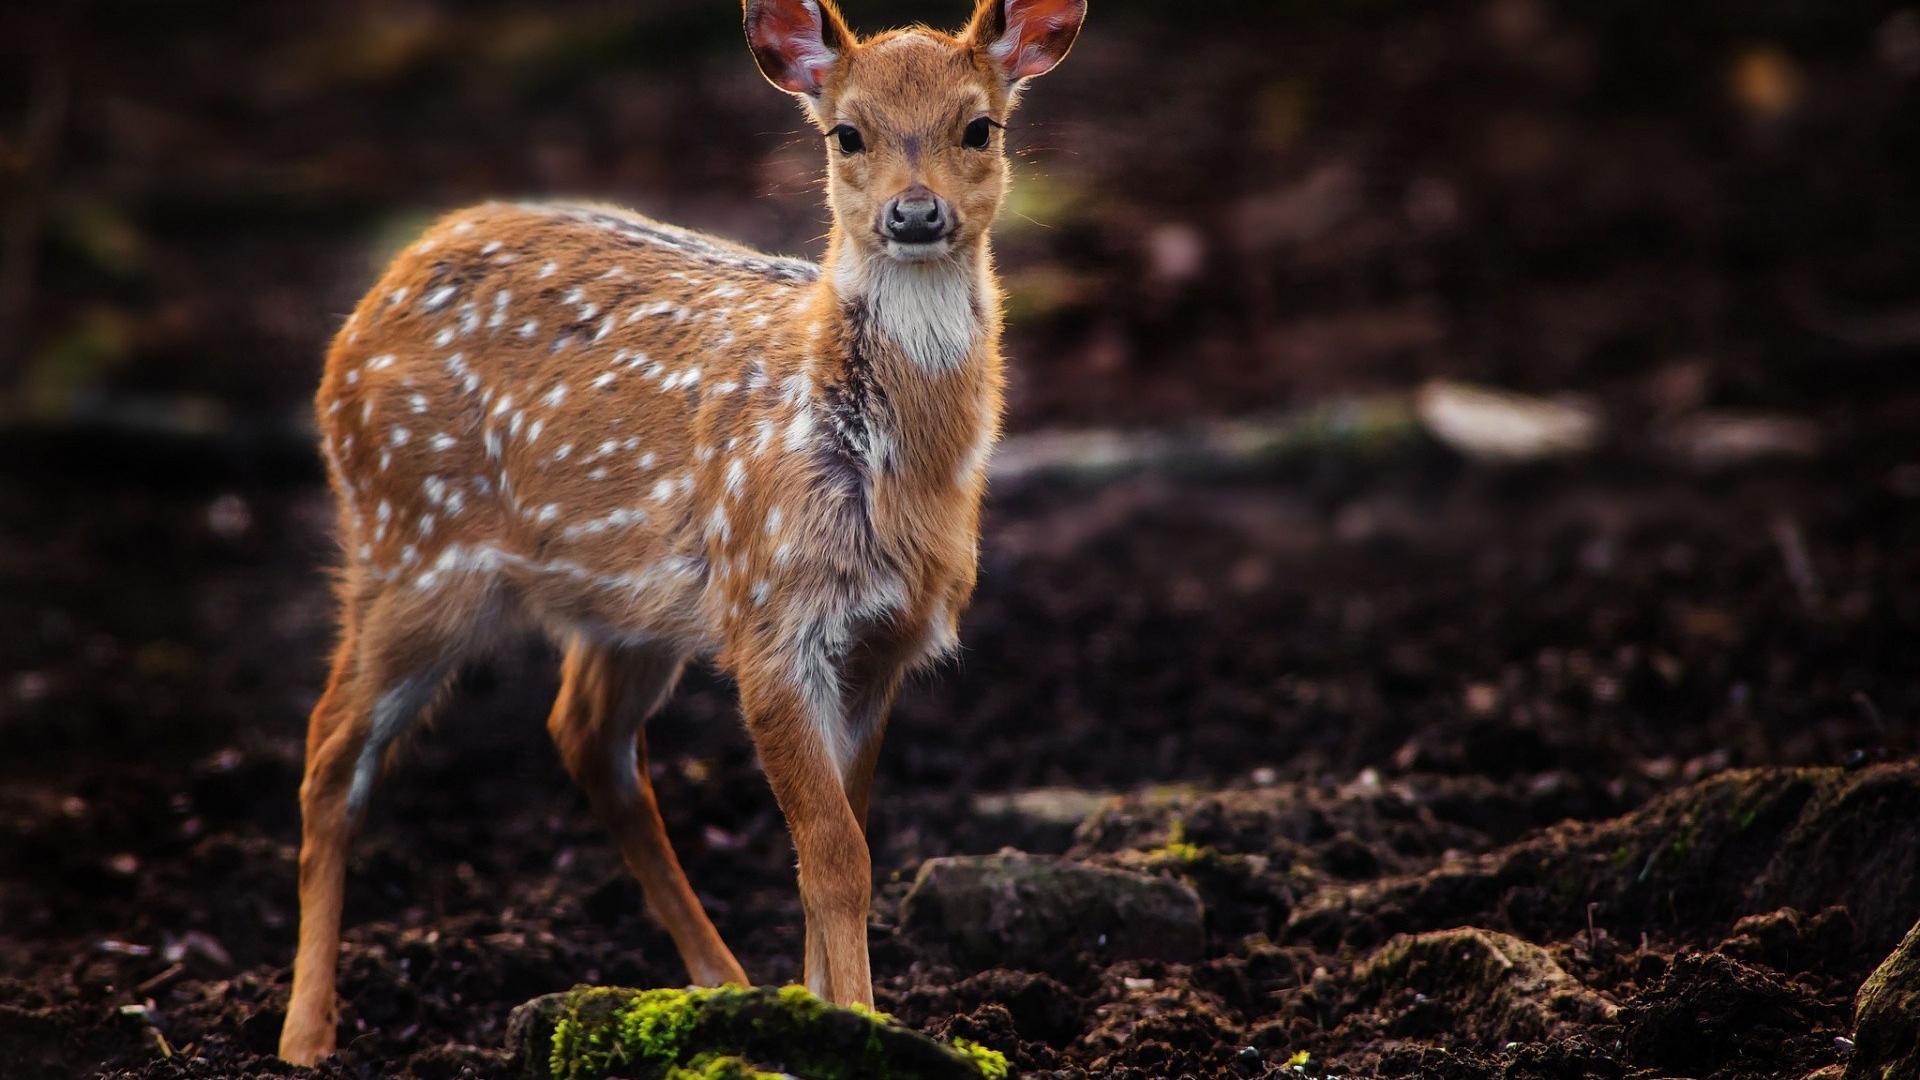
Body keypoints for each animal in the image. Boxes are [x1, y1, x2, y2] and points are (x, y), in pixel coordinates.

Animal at [278, 0, 1087, 1064]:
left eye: (979, 127)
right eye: (848, 134)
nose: (914, 214)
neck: (885, 467)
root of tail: (373, 298)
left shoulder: (881, 642)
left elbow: (841, 839)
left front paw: (824, 1011)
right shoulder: (768, 614)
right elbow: (837, 854)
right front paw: (857, 1026)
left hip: (621, 602)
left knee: (585, 736)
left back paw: (723, 984)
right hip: (409, 540)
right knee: (331, 754)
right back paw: (304, 1036)